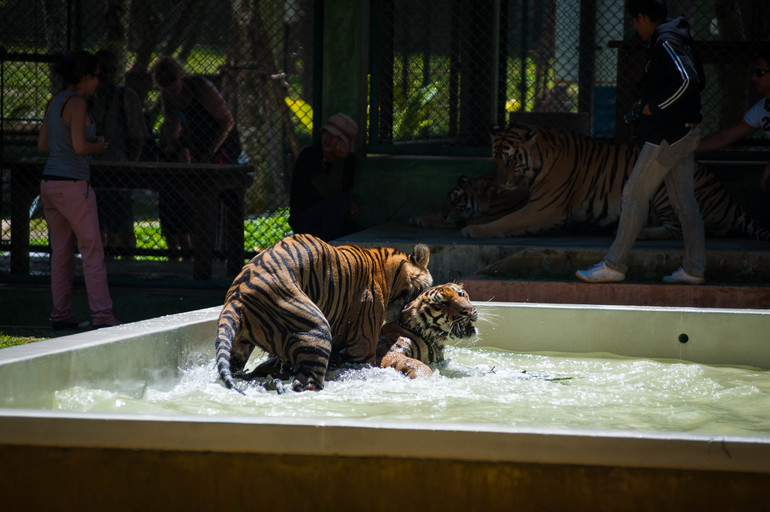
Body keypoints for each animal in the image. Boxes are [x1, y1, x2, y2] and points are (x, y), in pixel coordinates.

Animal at [215, 233, 433, 392]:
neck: (390, 273)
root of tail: (236, 295)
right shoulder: (362, 347)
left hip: (238, 346)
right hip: (315, 329)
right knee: (305, 383)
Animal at [413, 123, 770, 241]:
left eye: (510, 159)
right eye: (495, 158)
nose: (502, 183)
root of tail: (731, 200)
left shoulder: (542, 209)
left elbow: (502, 221)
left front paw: (473, 229)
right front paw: (427, 218)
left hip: (662, 186)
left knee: (679, 229)